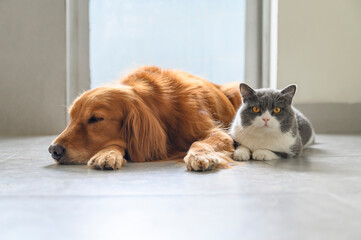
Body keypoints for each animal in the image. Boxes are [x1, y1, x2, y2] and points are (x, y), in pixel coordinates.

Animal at [47, 65, 239, 171]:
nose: (54, 150)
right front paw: (107, 153)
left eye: (96, 119)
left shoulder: (218, 133)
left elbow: (200, 142)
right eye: (71, 118)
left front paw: (199, 156)